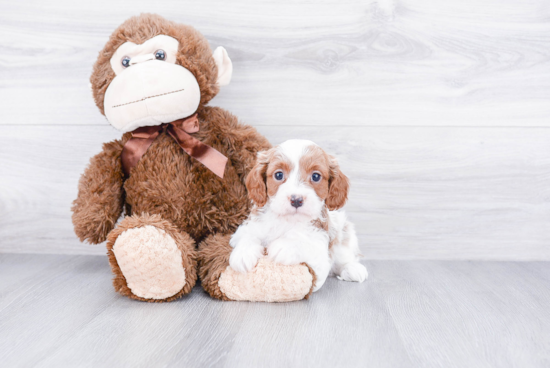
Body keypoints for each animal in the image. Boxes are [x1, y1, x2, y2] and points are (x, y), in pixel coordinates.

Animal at [231, 138, 368, 290]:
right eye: (279, 175)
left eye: (316, 176)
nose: (296, 200)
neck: (287, 220)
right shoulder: (246, 229)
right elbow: (248, 236)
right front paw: (243, 253)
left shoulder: (321, 252)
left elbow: (306, 243)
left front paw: (285, 246)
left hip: (344, 233)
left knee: (345, 256)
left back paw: (352, 268)